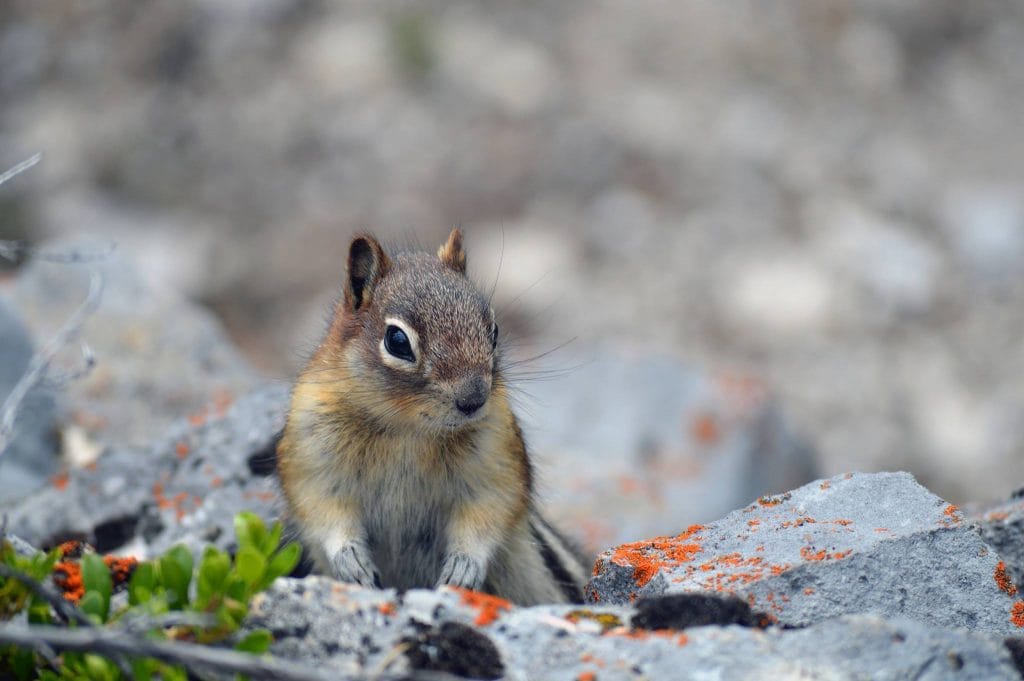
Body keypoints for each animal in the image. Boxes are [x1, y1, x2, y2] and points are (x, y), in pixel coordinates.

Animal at [275, 229, 589, 605]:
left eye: (494, 330)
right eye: (397, 340)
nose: (474, 399)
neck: (408, 428)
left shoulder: (496, 458)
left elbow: (489, 511)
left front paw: (463, 566)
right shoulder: (312, 455)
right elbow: (322, 510)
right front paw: (350, 559)